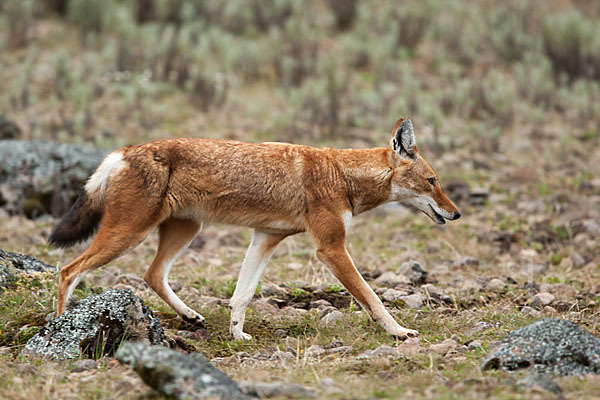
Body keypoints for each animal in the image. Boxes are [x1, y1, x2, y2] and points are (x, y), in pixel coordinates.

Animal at [50, 119, 460, 340]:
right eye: (432, 180)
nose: (455, 214)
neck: (342, 175)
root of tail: (123, 150)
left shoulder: (266, 238)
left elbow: (242, 295)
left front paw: (237, 336)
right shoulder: (330, 248)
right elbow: (371, 297)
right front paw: (399, 332)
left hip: (184, 231)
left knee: (151, 274)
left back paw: (190, 316)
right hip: (129, 235)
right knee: (68, 270)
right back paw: (58, 326)